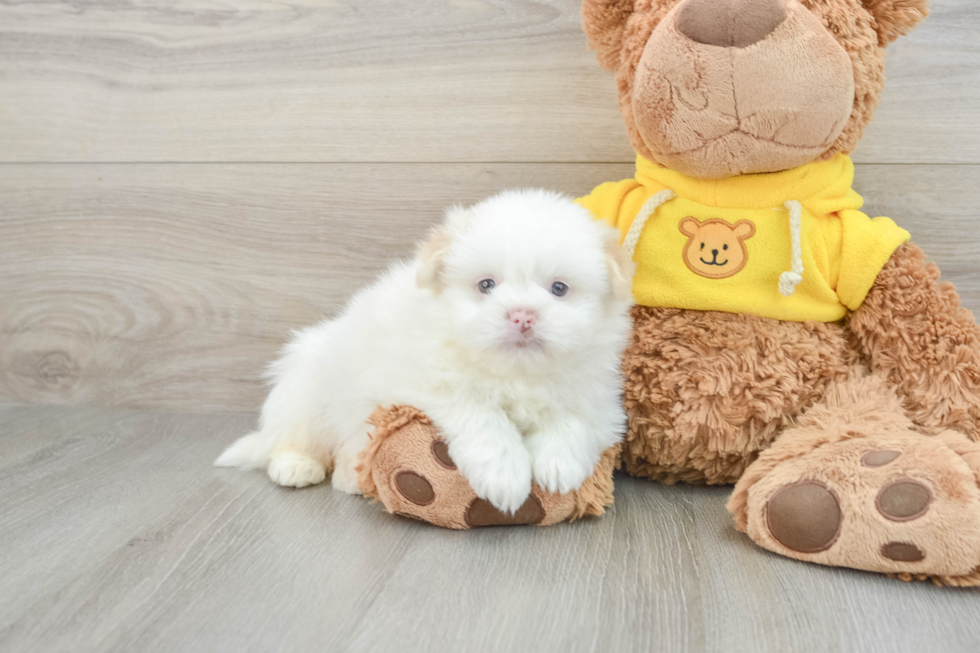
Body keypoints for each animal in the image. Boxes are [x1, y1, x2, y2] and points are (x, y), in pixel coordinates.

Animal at [216, 188, 636, 516]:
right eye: (486, 285)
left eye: (559, 289)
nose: (522, 315)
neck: (515, 373)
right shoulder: (430, 386)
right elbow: (484, 419)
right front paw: (505, 477)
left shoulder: (600, 399)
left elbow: (573, 421)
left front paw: (558, 467)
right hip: (306, 387)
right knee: (296, 438)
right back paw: (299, 466)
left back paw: (349, 476)